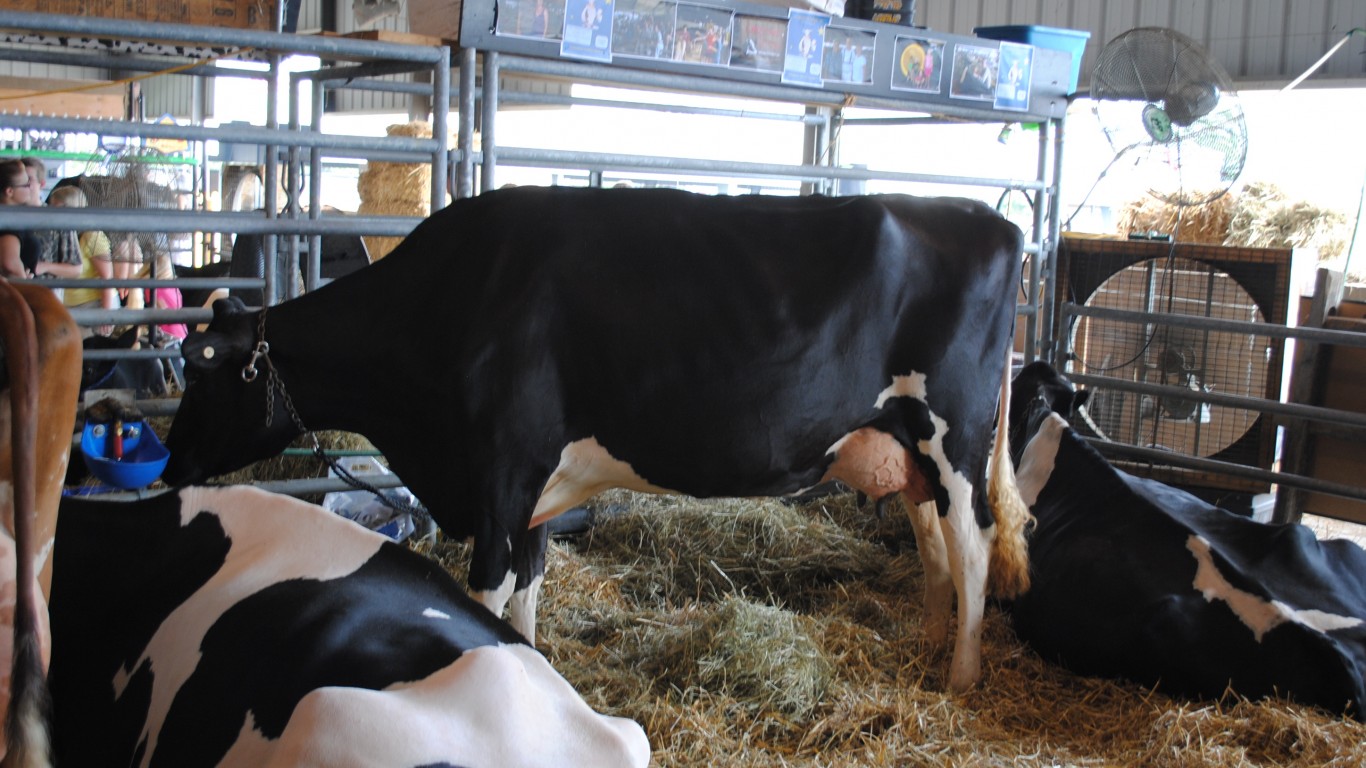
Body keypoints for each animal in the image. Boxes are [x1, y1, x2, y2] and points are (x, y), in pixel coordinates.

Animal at [165, 185, 1027, 688]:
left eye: (199, 372)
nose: (171, 464)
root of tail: (989, 217)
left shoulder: (501, 475)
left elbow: (488, 591)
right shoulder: (534, 495)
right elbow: (528, 591)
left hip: (954, 435)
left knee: (974, 545)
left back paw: (961, 675)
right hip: (904, 446)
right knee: (934, 545)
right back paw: (924, 646)